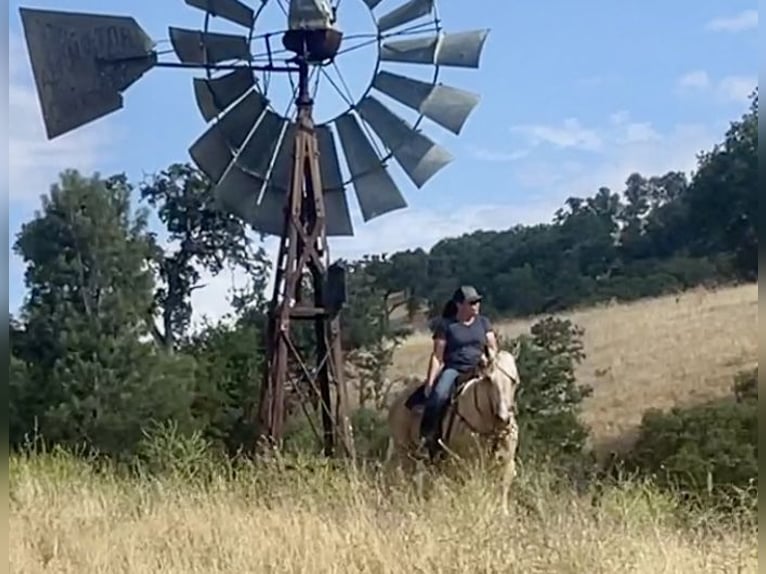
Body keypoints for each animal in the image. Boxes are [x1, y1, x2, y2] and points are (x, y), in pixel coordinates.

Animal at [385, 349, 521, 513]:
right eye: (489, 379)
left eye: (514, 381)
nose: (503, 417)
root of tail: (398, 397)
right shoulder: (465, 463)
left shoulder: (507, 462)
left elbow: (502, 488)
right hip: (403, 449)